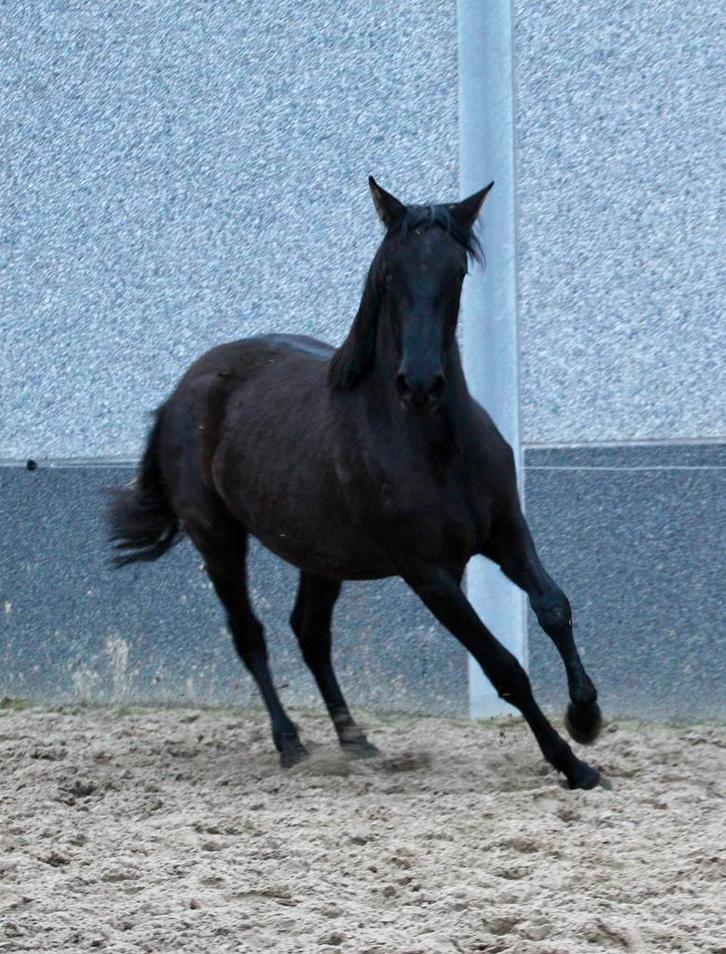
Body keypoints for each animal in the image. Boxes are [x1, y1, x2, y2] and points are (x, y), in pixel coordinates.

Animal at [107, 177, 603, 789]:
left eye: (455, 272)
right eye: (390, 273)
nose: (420, 385)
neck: (435, 445)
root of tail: (182, 391)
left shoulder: (506, 533)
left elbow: (554, 606)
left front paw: (586, 717)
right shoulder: (430, 574)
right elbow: (504, 667)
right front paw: (574, 764)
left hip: (320, 555)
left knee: (310, 632)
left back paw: (356, 740)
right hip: (218, 537)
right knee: (250, 634)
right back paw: (290, 743)